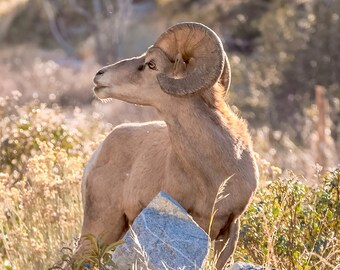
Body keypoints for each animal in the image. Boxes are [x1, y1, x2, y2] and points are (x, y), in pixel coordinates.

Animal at [78, 22, 258, 268]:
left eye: (151, 64)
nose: (99, 75)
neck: (216, 171)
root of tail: (98, 153)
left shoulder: (229, 231)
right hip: (101, 227)